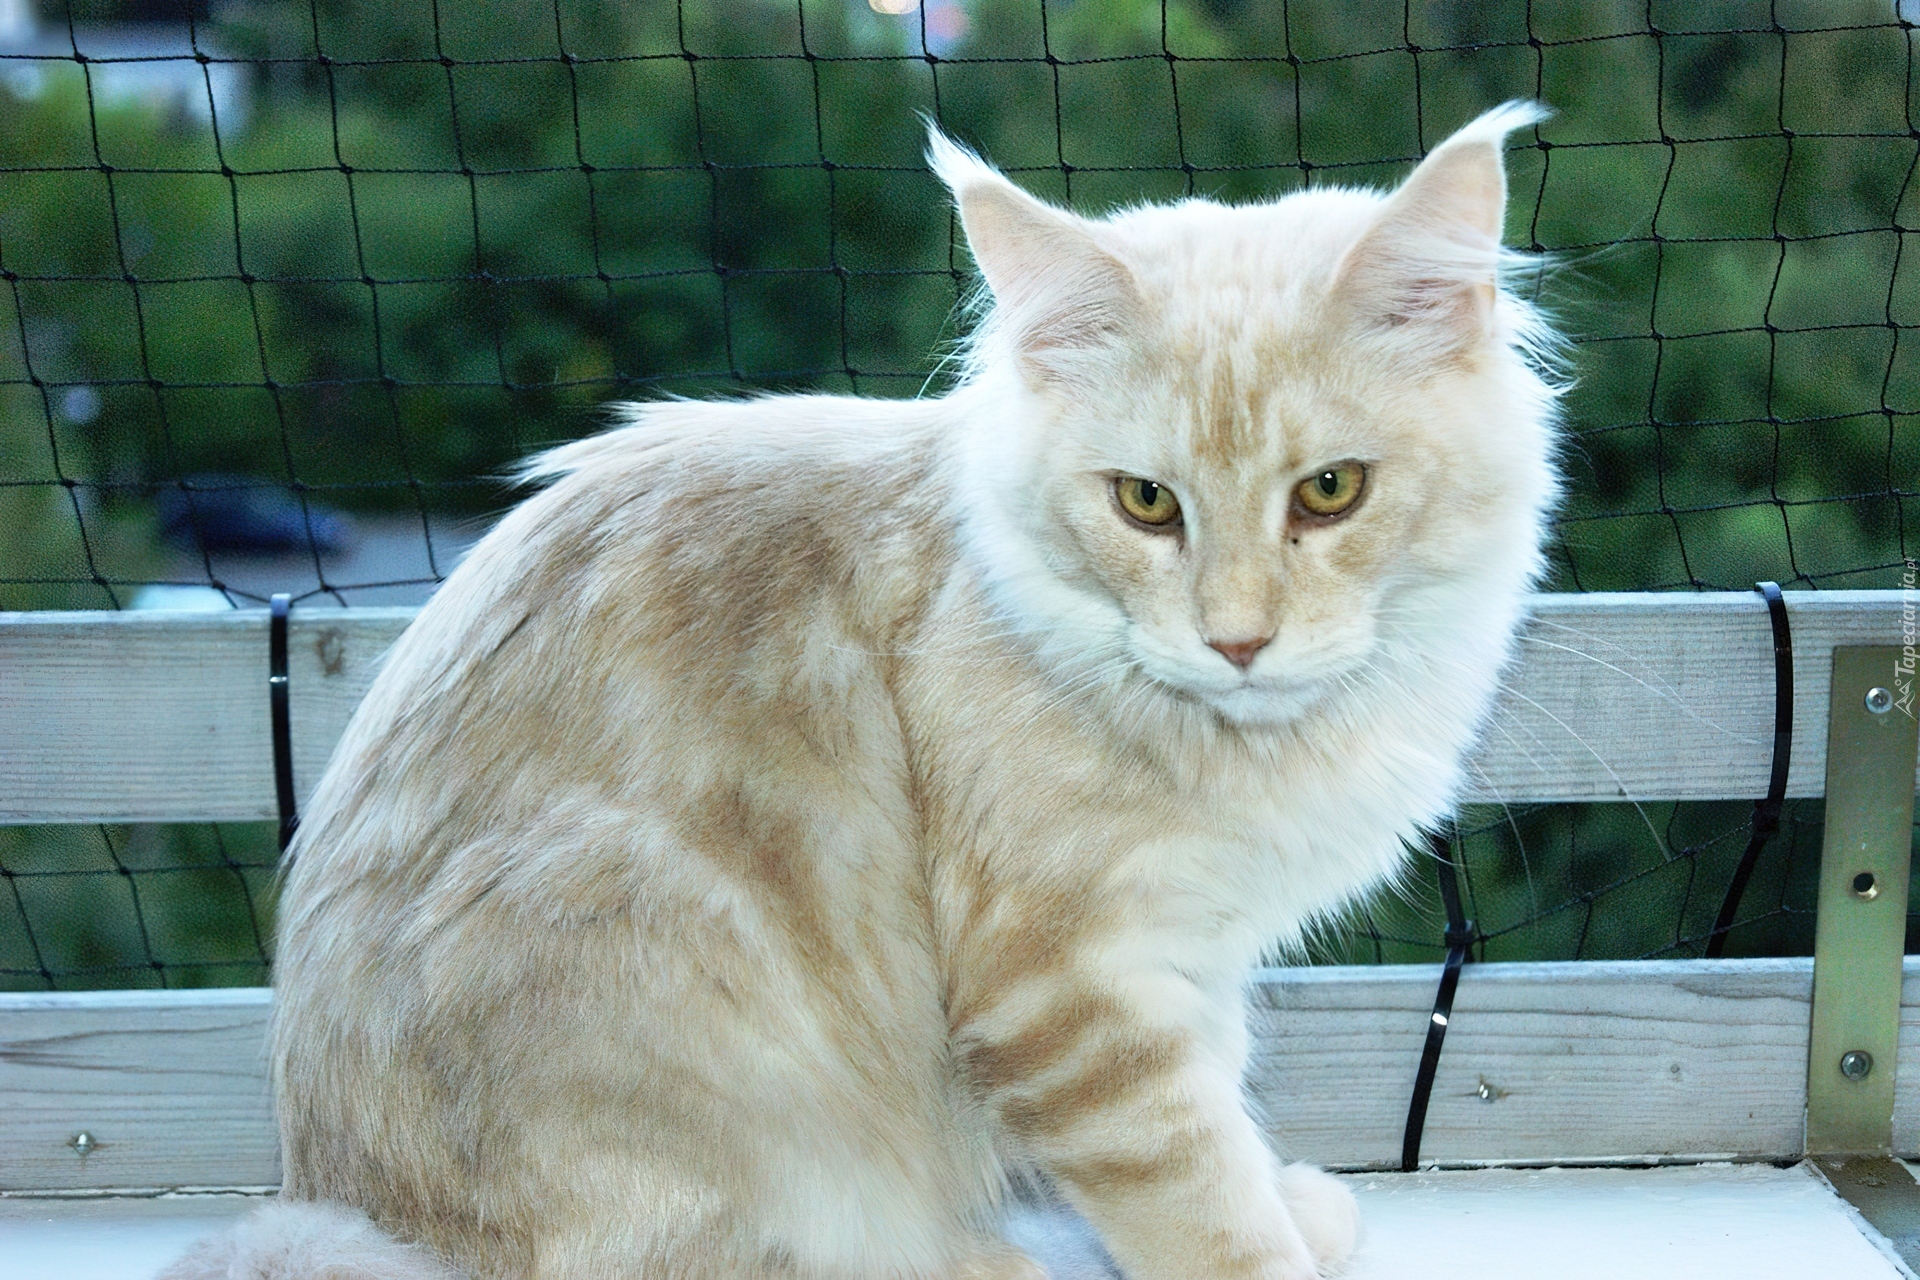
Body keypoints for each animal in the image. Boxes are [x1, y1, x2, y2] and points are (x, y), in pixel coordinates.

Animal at [168, 102, 1559, 1280]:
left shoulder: (1190, 963)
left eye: (1330, 491)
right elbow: (1196, 1196)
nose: (1237, 641)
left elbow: (1224, 1120)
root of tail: (358, 1210)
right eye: (1146, 503)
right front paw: (1266, 1238)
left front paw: (1292, 1202)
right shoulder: (1070, 985)